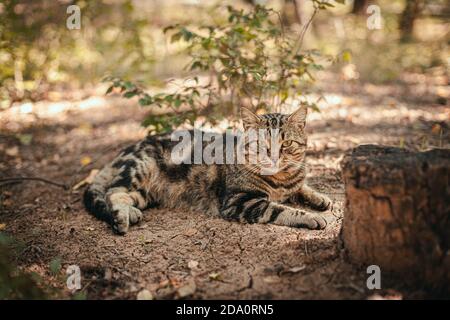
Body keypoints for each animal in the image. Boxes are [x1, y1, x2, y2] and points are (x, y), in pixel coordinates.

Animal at [83, 106, 330, 234]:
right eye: (262, 145)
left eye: (286, 144)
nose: (274, 157)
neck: (280, 179)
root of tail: (128, 148)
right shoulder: (241, 202)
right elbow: (281, 209)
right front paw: (311, 217)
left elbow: (302, 187)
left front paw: (320, 198)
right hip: (140, 168)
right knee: (113, 192)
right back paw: (121, 218)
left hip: (145, 193)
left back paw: (130, 212)